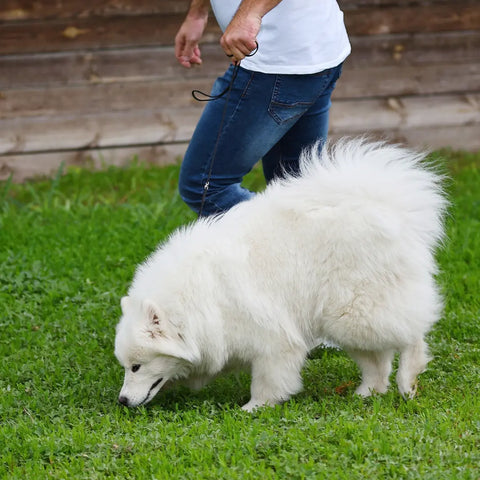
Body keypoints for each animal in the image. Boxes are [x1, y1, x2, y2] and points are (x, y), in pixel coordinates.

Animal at [114, 140, 448, 412]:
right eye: (126, 366)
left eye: (136, 367)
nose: (122, 400)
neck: (198, 299)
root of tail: (385, 206)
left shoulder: (271, 339)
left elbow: (268, 379)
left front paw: (255, 407)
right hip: (343, 322)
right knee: (378, 359)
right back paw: (369, 392)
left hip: (355, 312)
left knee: (411, 336)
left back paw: (408, 380)